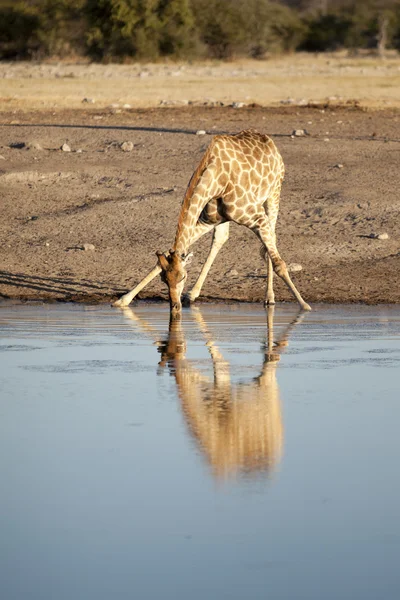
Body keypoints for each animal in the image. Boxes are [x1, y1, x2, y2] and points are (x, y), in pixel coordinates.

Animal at [114, 129, 310, 316]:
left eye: (183, 277)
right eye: (164, 280)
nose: (174, 306)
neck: (217, 180)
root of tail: (269, 142)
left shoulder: (258, 218)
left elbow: (279, 264)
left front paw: (304, 305)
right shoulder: (207, 220)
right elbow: (163, 259)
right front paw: (123, 300)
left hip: (273, 194)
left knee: (271, 242)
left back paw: (270, 298)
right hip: (224, 219)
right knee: (221, 239)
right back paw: (192, 294)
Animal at [120, 308, 304, 480]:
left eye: (178, 346)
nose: (179, 338)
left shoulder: (221, 381)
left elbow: (219, 360)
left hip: (267, 394)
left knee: (269, 369)